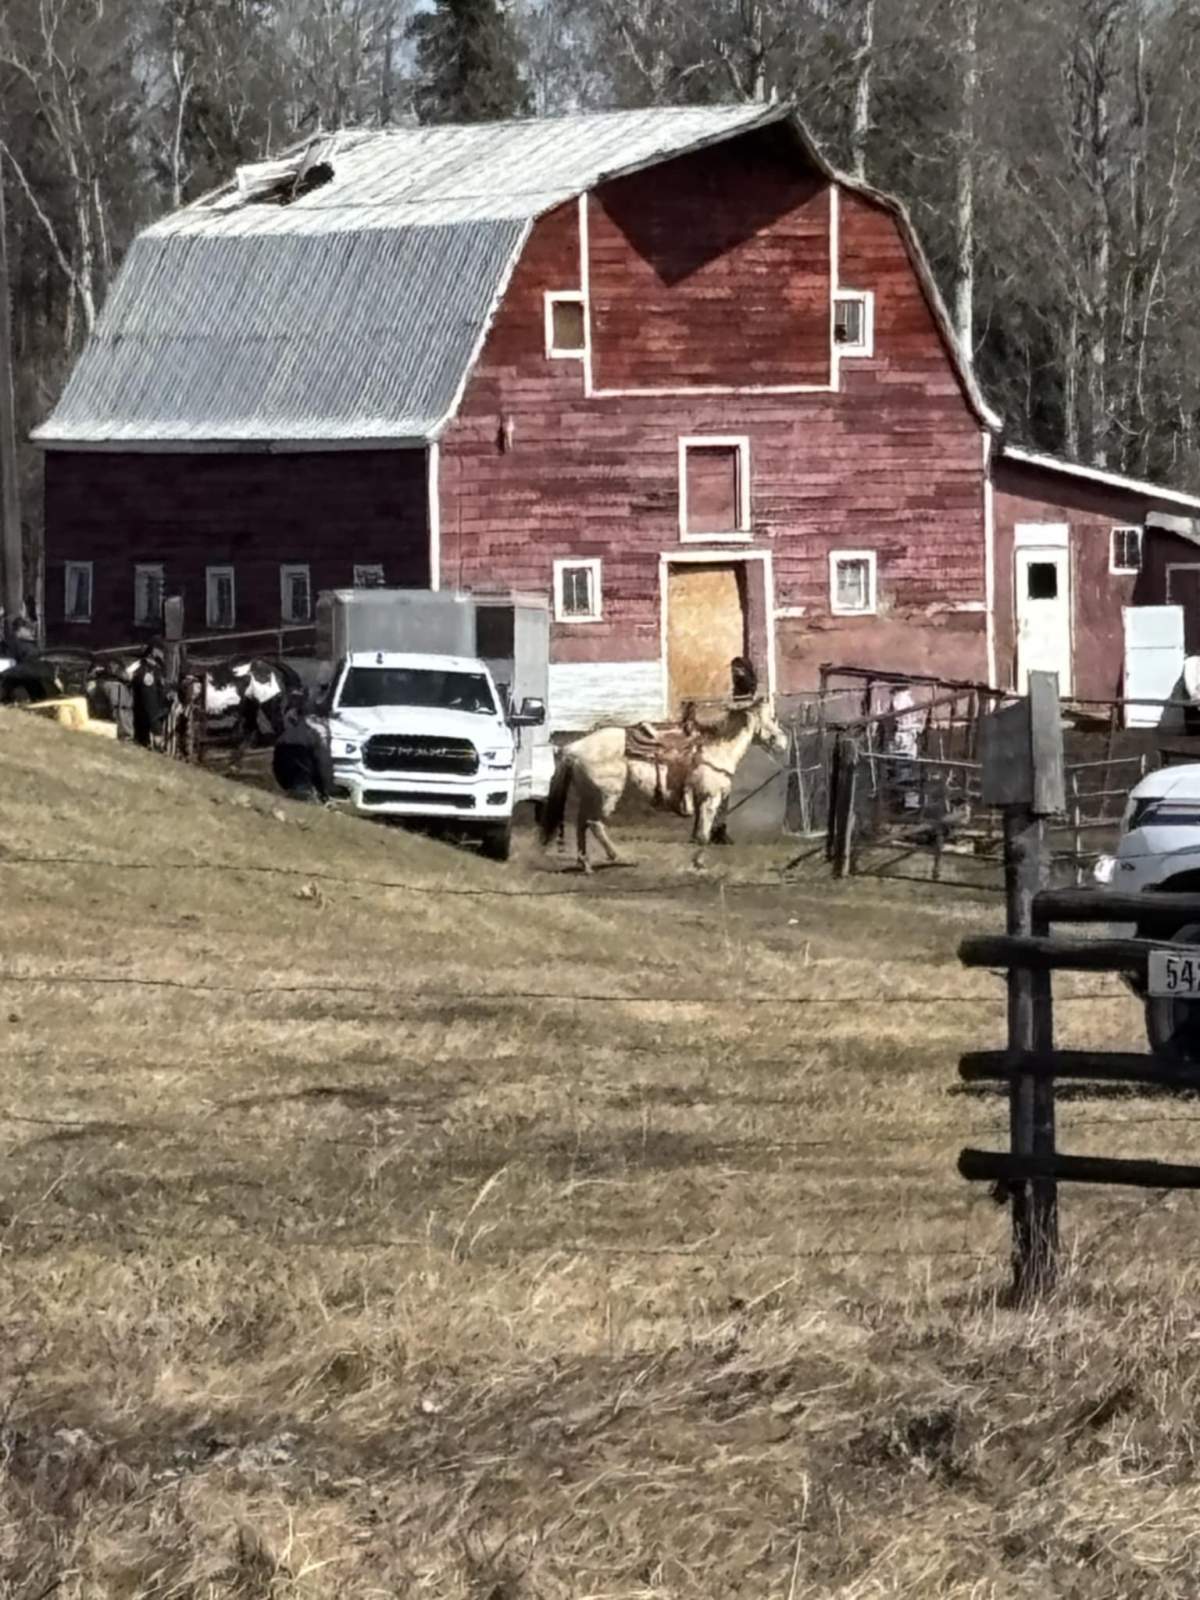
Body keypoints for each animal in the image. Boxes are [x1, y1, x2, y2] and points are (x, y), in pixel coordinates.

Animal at [539, 698, 789, 872]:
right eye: (772, 718)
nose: (783, 743)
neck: (715, 750)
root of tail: (573, 748)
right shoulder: (709, 798)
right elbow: (703, 835)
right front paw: (698, 865)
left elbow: (699, 832)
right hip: (607, 796)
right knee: (594, 824)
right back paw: (617, 857)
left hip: (591, 795)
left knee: (581, 823)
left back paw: (586, 864)